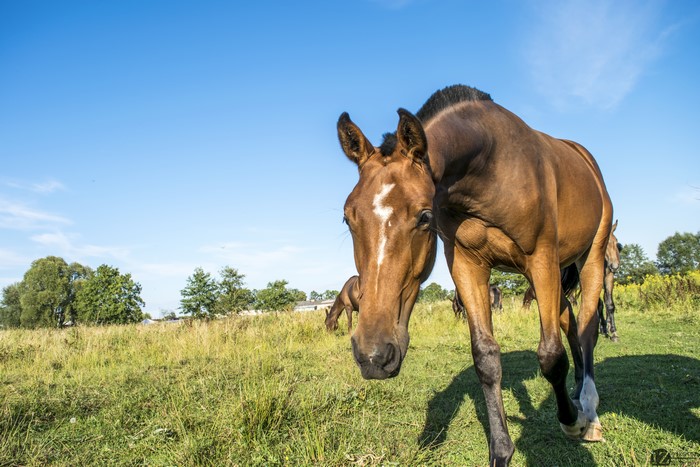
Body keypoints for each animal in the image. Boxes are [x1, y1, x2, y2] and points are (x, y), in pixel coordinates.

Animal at [336, 84, 613, 465]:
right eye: (348, 218)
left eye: (424, 217)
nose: (373, 355)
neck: (489, 167)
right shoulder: (468, 265)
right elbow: (486, 358)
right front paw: (501, 450)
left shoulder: (540, 257)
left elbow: (550, 355)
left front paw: (571, 422)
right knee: (570, 323)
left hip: (590, 257)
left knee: (587, 329)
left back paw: (588, 411)